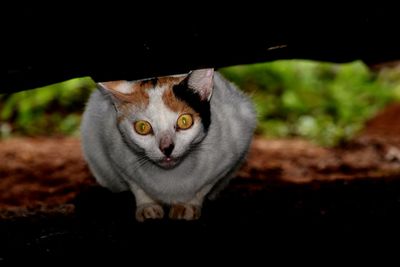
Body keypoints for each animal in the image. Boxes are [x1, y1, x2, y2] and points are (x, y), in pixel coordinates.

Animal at [81, 68, 256, 222]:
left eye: (184, 121)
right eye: (142, 127)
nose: (167, 148)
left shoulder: (234, 145)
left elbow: (204, 187)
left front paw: (187, 205)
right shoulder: (114, 153)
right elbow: (136, 186)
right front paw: (147, 206)